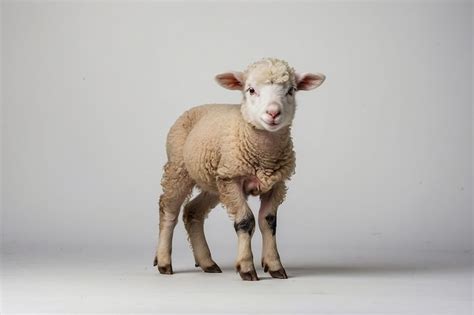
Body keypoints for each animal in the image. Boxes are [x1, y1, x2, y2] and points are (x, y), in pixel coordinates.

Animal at [154, 57, 324, 282]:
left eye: (291, 90)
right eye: (251, 90)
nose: (273, 112)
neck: (264, 157)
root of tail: (197, 108)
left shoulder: (276, 184)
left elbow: (269, 222)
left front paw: (274, 265)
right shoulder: (232, 180)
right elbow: (245, 221)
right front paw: (246, 267)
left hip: (215, 181)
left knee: (192, 212)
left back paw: (207, 262)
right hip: (179, 169)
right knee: (169, 210)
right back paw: (164, 261)